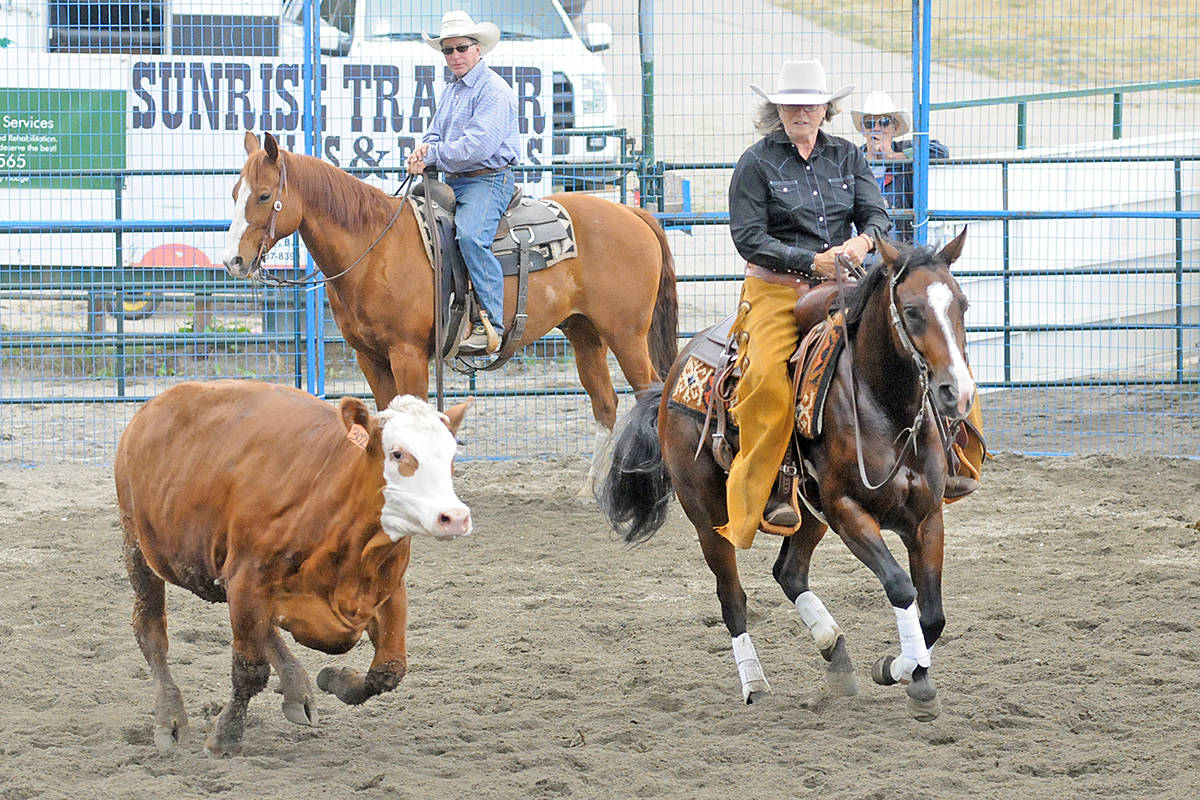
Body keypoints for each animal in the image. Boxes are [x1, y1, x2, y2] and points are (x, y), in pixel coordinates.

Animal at [112, 381, 468, 758]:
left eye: (451, 455)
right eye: (398, 454)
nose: (455, 517)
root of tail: (154, 406)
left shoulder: (387, 590)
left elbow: (389, 670)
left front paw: (337, 679)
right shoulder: (248, 581)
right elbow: (250, 672)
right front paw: (226, 735)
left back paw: (297, 688)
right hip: (138, 547)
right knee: (150, 628)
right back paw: (170, 718)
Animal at [220, 133, 676, 431]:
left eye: (264, 195)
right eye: (234, 192)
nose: (232, 260)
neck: (374, 247)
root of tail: (634, 214)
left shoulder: (407, 353)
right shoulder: (369, 357)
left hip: (626, 332)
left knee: (648, 393)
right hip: (584, 331)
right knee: (604, 401)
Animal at [597, 230, 974, 719]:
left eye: (962, 304)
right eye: (911, 310)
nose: (956, 393)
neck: (887, 411)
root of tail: (675, 375)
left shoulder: (927, 518)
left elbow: (933, 615)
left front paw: (910, 672)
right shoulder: (847, 511)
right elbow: (900, 587)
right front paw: (899, 669)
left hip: (807, 514)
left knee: (789, 573)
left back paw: (835, 652)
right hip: (708, 518)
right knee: (732, 599)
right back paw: (754, 683)